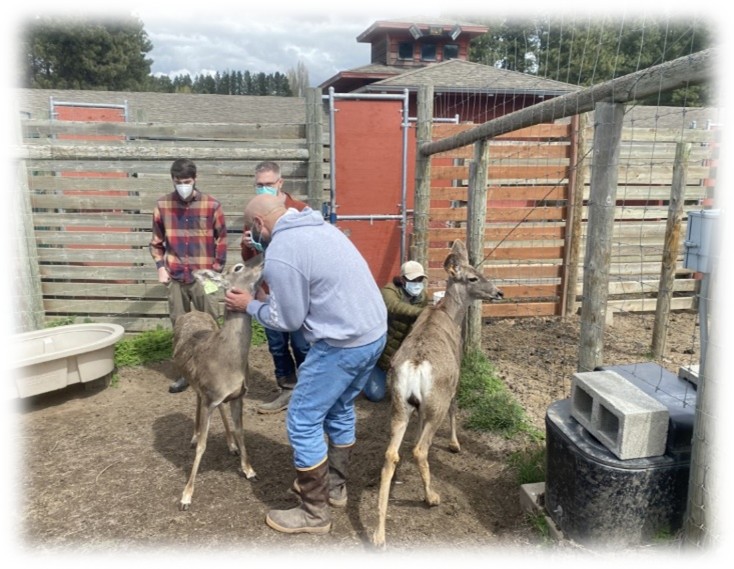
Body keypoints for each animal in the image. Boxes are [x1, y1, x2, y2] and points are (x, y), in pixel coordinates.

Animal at [172, 254, 264, 511]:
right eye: (238, 267)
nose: (262, 256)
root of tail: (192, 311)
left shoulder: (239, 395)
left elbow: (241, 430)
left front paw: (249, 469)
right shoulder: (209, 395)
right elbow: (203, 445)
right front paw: (186, 496)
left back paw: (230, 445)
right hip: (197, 384)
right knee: (197, 400)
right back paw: (194, 435)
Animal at [371, 240, 504, 548]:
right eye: (473, 277)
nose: (498, 292)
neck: (448, 315)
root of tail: (416, 366)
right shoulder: (456, 376)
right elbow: (457, 408)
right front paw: (455, 444)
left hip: (400, 403)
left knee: (392, 453)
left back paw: (379, 534)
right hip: (436, 401)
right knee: (421, 448)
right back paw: (431, 497)